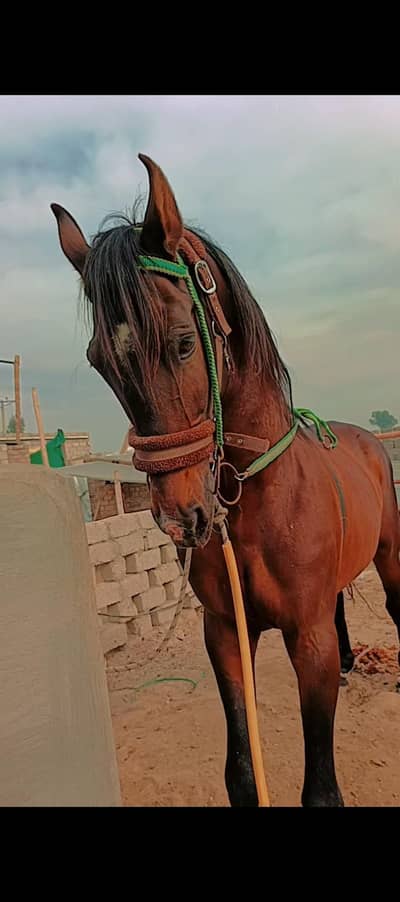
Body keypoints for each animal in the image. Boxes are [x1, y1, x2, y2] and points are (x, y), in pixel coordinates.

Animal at [51, 153, 400, 807]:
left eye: (186, 342)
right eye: (98, 361)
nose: (180, 518)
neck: (262, 503)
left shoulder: (307, 639)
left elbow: (320, 791)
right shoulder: (226, 633)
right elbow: (241, 772)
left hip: (390, 557)